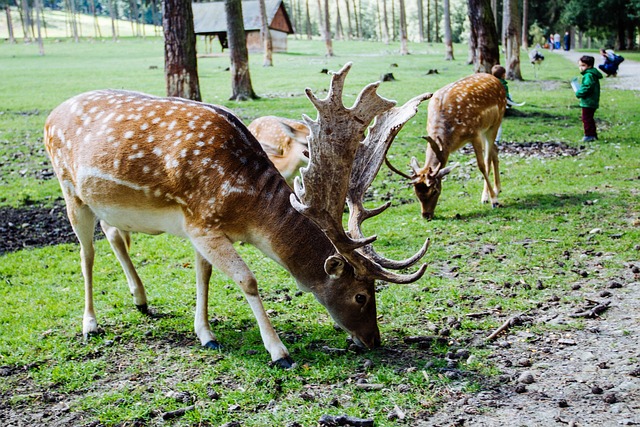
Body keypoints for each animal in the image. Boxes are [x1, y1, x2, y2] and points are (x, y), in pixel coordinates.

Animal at [45, 62, 432, 368]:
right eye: (361, 295)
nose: (373, 340)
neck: (244, 211)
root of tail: (50, 116)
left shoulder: (199, 227)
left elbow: (203, 275)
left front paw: (206, 334)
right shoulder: (202, 222)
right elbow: (247, 280)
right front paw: (279, 352)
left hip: (105, 202)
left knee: (113, 234)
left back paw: (140, 299)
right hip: (70, 191)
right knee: (86, 253)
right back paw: (90, 324)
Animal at [384, 73, 504, 219]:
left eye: (434, 191)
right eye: (416, 192)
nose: (426, 215)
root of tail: (495, 78)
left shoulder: (474, 133)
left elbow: (481, 166)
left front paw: (494, 201)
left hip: (496, 121)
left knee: (488, 158)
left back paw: (488, 196)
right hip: (486, 130)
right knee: (495, 150)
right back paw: (498, 189)